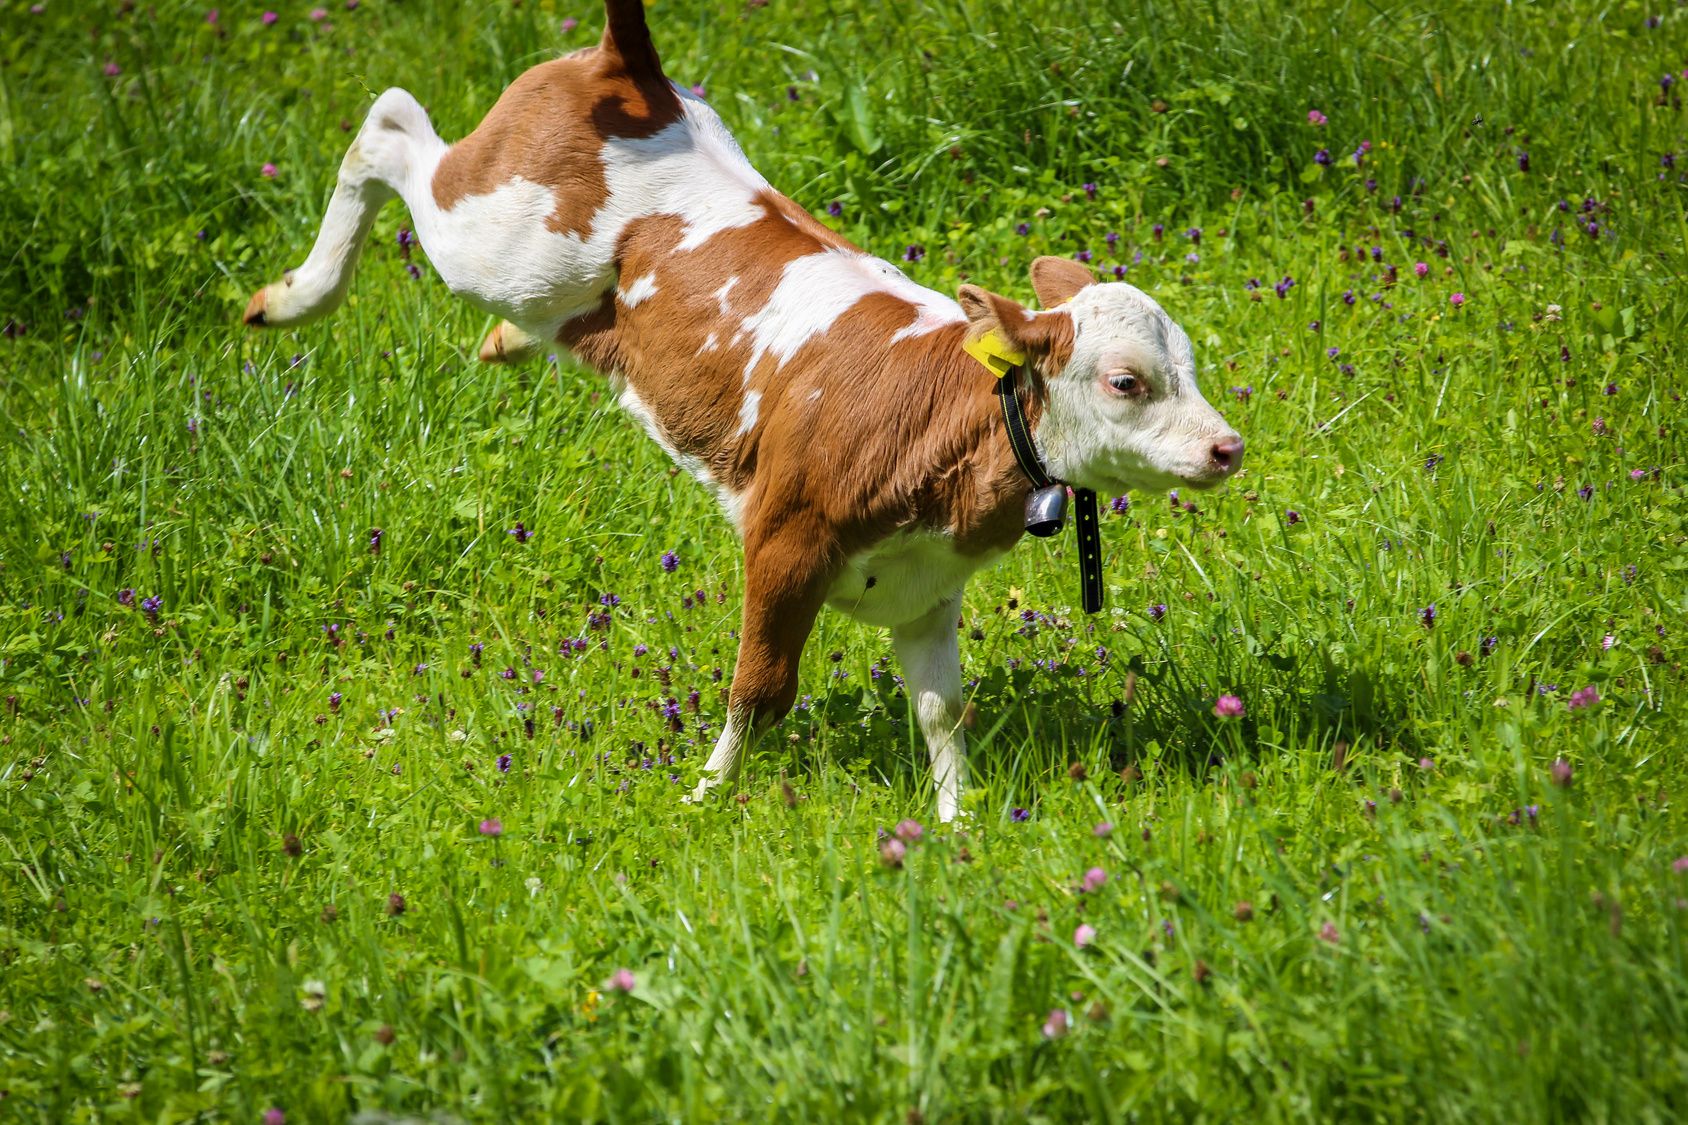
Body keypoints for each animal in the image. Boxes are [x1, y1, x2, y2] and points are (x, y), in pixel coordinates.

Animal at [244, 2, 1242, 824]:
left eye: (1189, 367)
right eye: (1126, 382)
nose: (1228, 447)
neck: (939, 428)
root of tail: (631, 73)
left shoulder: (926, 587)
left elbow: (941, 708)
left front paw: (958, 826)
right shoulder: (785, 538)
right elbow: (760, 689)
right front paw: (703, 796)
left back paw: (498, 343)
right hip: (496, 238)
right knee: (389, 128)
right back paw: (293, 297)